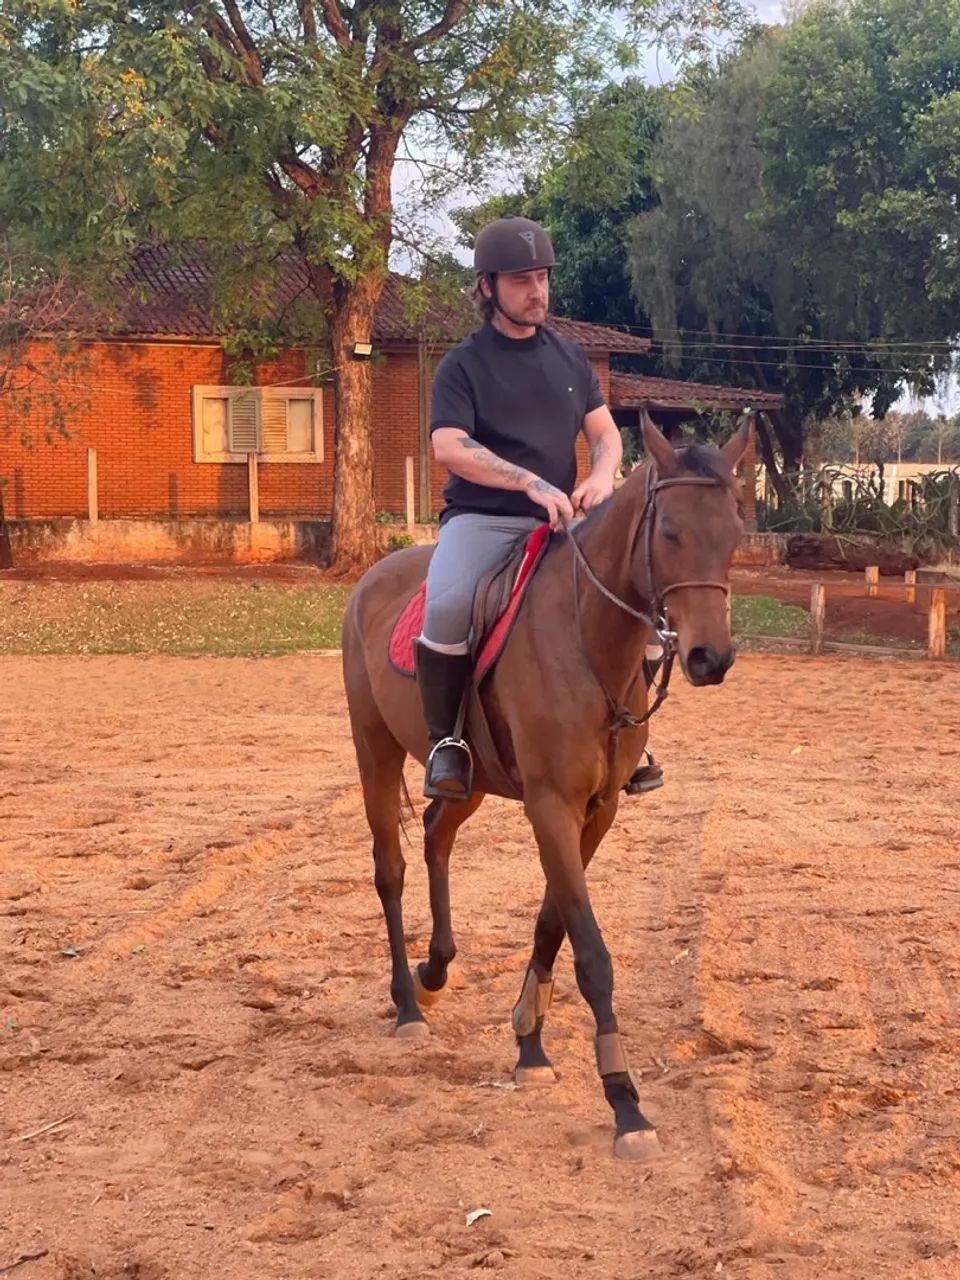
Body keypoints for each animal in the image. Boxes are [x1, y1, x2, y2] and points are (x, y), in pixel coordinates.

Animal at [341, 413, 751, 1160]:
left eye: (733, 532)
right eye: (671, 532)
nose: (711, 658)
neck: (589, 639)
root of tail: (372, 577)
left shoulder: (597, 810)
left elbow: (551, 923)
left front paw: (529, 1041)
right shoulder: (550, 806)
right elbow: (590, 950)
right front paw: (625, 1101)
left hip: (469, 776)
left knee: (437, 837)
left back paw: (436, 971)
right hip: (374, 751)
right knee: (390, 868)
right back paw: (408, 1003)